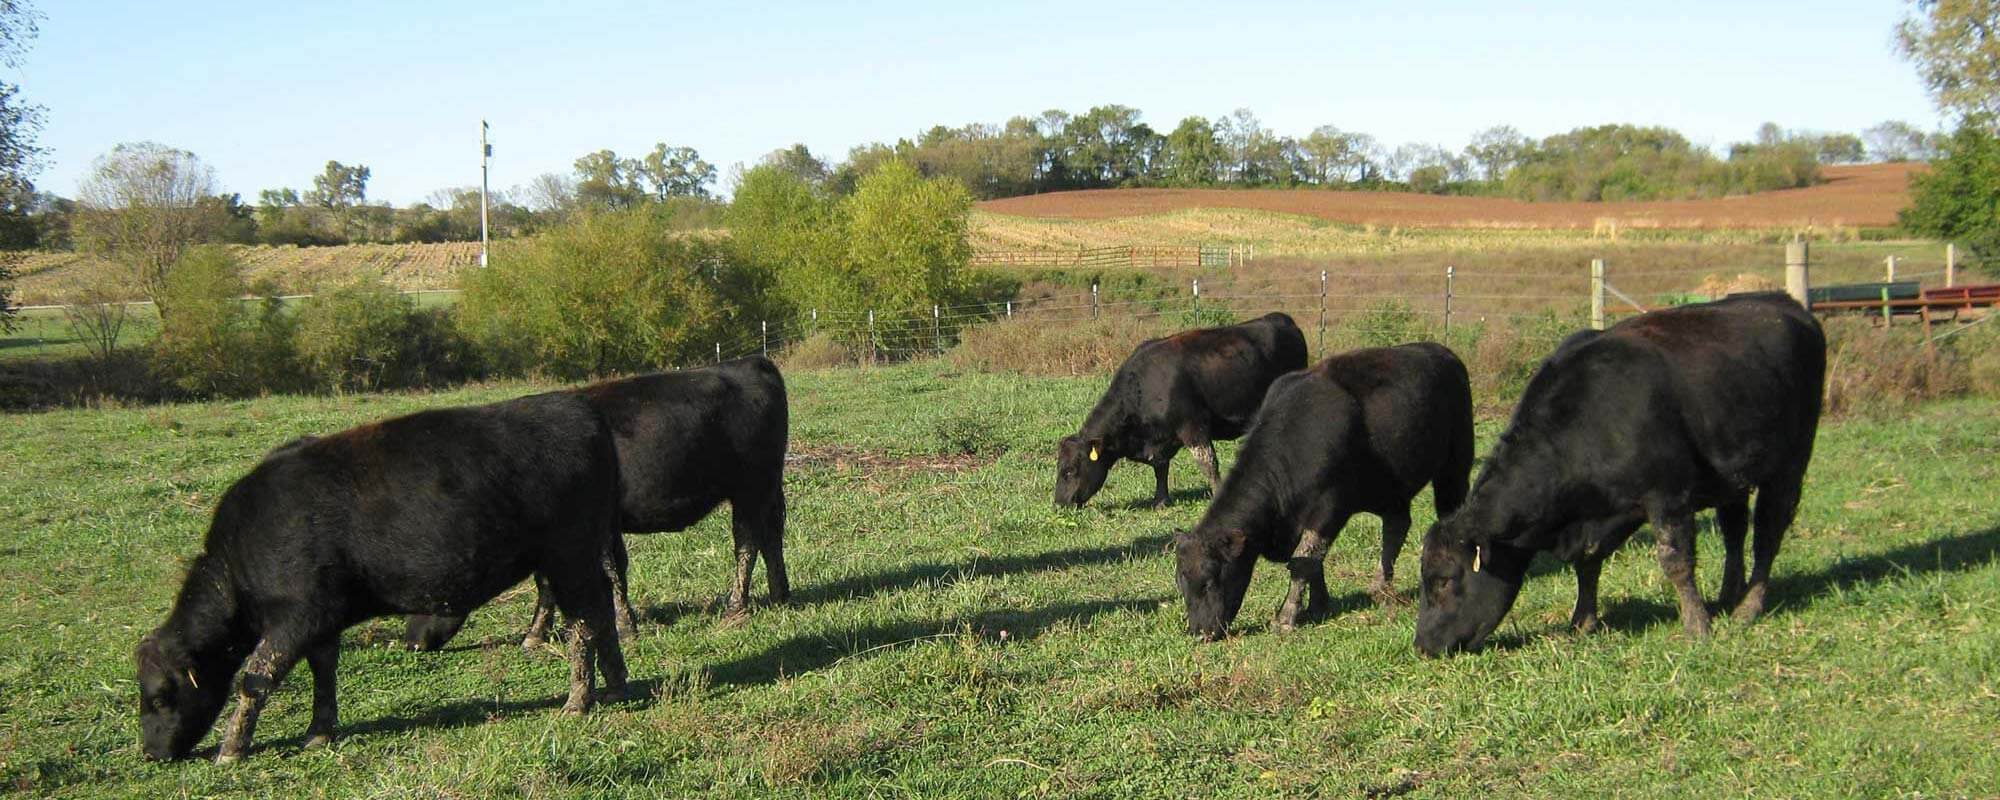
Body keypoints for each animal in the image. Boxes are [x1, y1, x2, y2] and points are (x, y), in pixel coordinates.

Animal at [139, 394, 624, 764]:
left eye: (161, 696)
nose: (150, 752)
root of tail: (576, 409)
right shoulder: (322, 622)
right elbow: (323, 672)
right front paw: (319, 731)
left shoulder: (296, 617)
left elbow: (255, 678)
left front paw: (232, 748)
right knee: (602, 612)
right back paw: (616, 684)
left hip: (568, 557)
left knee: (584, 623)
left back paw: (578, 700)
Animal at [402, 360, 784, 652]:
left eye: (433, 588)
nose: (413, 642)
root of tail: (750, 363)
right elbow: (556, 579)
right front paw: (537, 634)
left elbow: (605, 572)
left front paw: (624, 626)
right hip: (766, 486)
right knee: (772, 536)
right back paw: (780, 593)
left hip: (749, 488)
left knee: (747, 543)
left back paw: (736, 607)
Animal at [1056, 312, 1304, 506]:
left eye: (1069, 470)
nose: (1059, 503)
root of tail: (1282, 318)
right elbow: (1161, 467)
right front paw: (1160, 500)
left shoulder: (1193, 427)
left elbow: (1208, 463)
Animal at [1168, 340, 1472, 640]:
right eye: (1182, 581)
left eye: (1209, 581)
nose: (1199, 632)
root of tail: (1441, 351)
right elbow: (1315, 561)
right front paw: (1318, 605)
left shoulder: (1329, 508)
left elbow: (1304, 560)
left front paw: (1286, 618)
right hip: (1392, 489)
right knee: (1396, 526)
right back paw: (1380, 586)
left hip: (1455, 467)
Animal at [1416, 294, 1824, 656]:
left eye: (1445, 579)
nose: (1423, 645)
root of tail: (1785, 304)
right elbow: (1588, 561)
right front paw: (1582, 621)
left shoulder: (1668, 495)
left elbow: (1676, 561)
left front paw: (1696, 625)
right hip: (1732, 477)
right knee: (1735, 531)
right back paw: (1728, 594)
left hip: (1790, 465)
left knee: (1767, 535)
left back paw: (1748, 607)